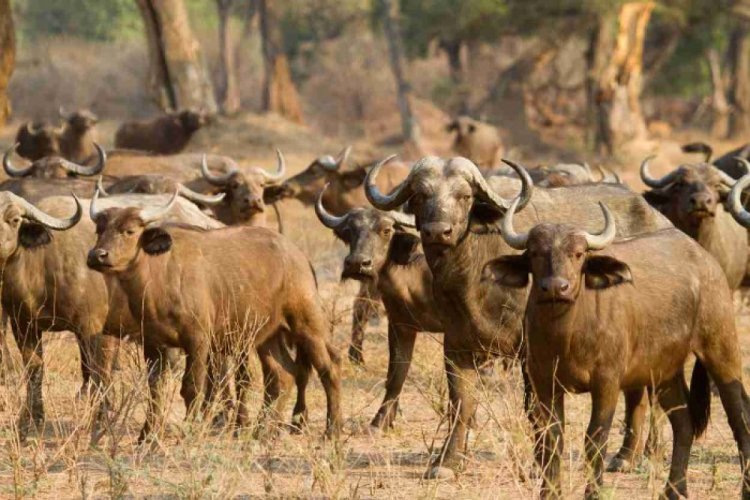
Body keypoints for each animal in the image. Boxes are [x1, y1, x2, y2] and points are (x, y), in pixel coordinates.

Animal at [86, 189, 342, 440]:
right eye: (100, 229)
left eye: (129, 231)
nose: (97, 255)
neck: (160, 277)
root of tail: (299, 256)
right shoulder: (153, 344)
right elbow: (155, 389)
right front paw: (147, 436)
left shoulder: (198, 340)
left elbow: (192, 387)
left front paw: (190, 431)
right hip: (268, 335)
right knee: (281, 375)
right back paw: (262, 430)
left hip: (307, 323)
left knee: (329, 367)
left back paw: (332, 429)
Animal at [316, 186, 444, 432]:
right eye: (349, 231)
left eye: (386, 230)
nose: (358, 264)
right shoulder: (399, 326)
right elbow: (395, 375)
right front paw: (384, 419)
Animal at [364, 156, 676, 480]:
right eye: (420, 195)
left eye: (465, 196)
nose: (438, 232)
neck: (473, 275)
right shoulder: (456, 346)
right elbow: (461, 403)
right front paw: (447, 461)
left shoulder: (530, 352)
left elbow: (535, 410)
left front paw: (540, 463)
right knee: (637, 393)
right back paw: (626, 455)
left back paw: (647, 453)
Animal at [484, 197, 750, 498]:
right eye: (535, 253)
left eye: (578, 254)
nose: (556, 287)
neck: (565, 337)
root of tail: (707, 261)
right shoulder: (543, 382)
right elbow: (551, 437)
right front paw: (550, 492)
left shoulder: (606, 382)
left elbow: (595, 438)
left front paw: (593, 491)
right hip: (665, 372)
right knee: (684, 424)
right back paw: (674, 489)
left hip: (721, 350)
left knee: (740, 419)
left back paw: (743, 488)